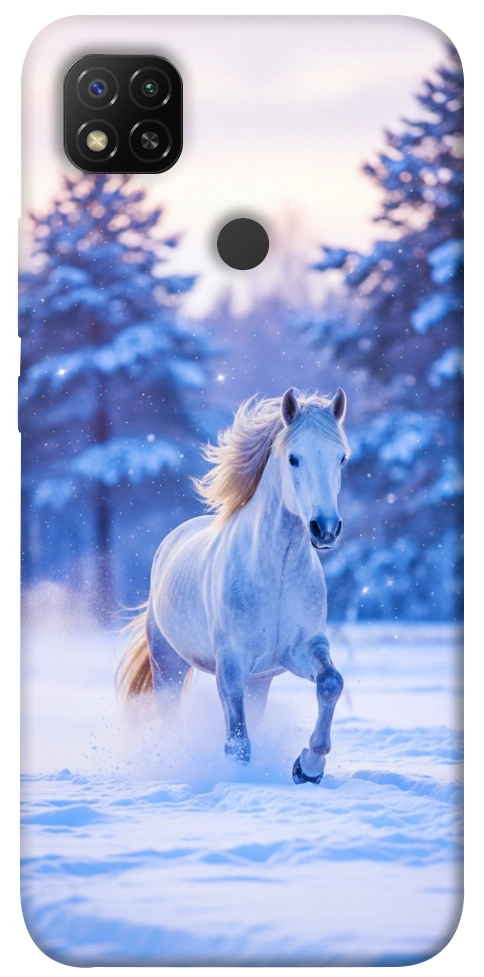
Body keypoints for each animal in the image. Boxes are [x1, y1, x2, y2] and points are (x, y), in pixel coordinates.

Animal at [118, 387, 350, 784]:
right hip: (168, 665)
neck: (277, 573)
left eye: (341, 459)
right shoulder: (231, 664)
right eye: (294, 458)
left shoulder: (301, 649)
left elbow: (331, 683)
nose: (325, 529)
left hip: (259, 682)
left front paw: (308, 767)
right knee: (170, 717)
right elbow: (237, 742)